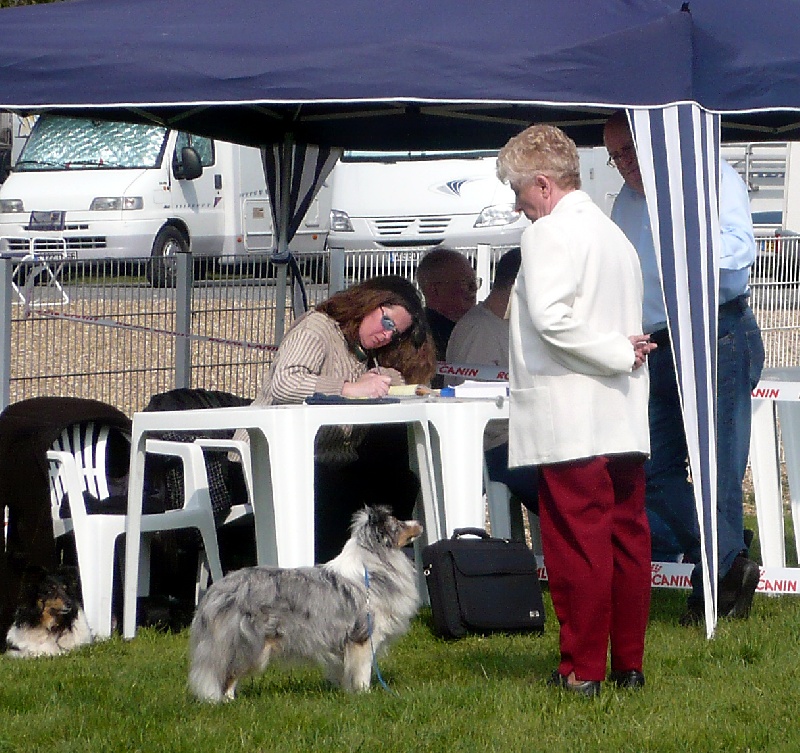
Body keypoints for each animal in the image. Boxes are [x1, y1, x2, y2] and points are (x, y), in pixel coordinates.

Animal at [190, 506, 422, 700]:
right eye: (399, 523)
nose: (418, 522)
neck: (372, 566)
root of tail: (216, 590)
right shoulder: (363, 637)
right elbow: (363, 671)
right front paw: (365, 695)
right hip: (248, 644)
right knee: (228, 676)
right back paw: (228, 702)